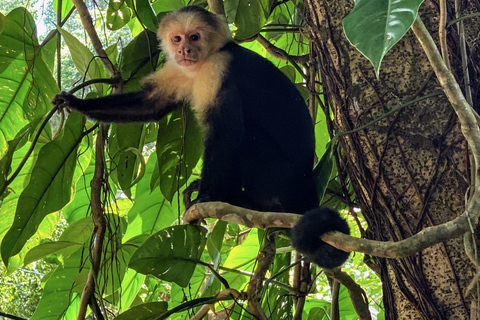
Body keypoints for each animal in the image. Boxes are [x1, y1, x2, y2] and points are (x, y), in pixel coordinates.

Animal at [52, 5, 350, 270]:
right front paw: (76, 103)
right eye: (177, 38)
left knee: (246, 135)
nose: (184, 50)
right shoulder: (177, 69)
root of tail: (307, 186)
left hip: (277, 177)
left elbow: (225, 131)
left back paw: (233, 197)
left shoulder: (219, 68)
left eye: (194, 37)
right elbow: (151, 105)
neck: (200, 65)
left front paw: (207, 195)